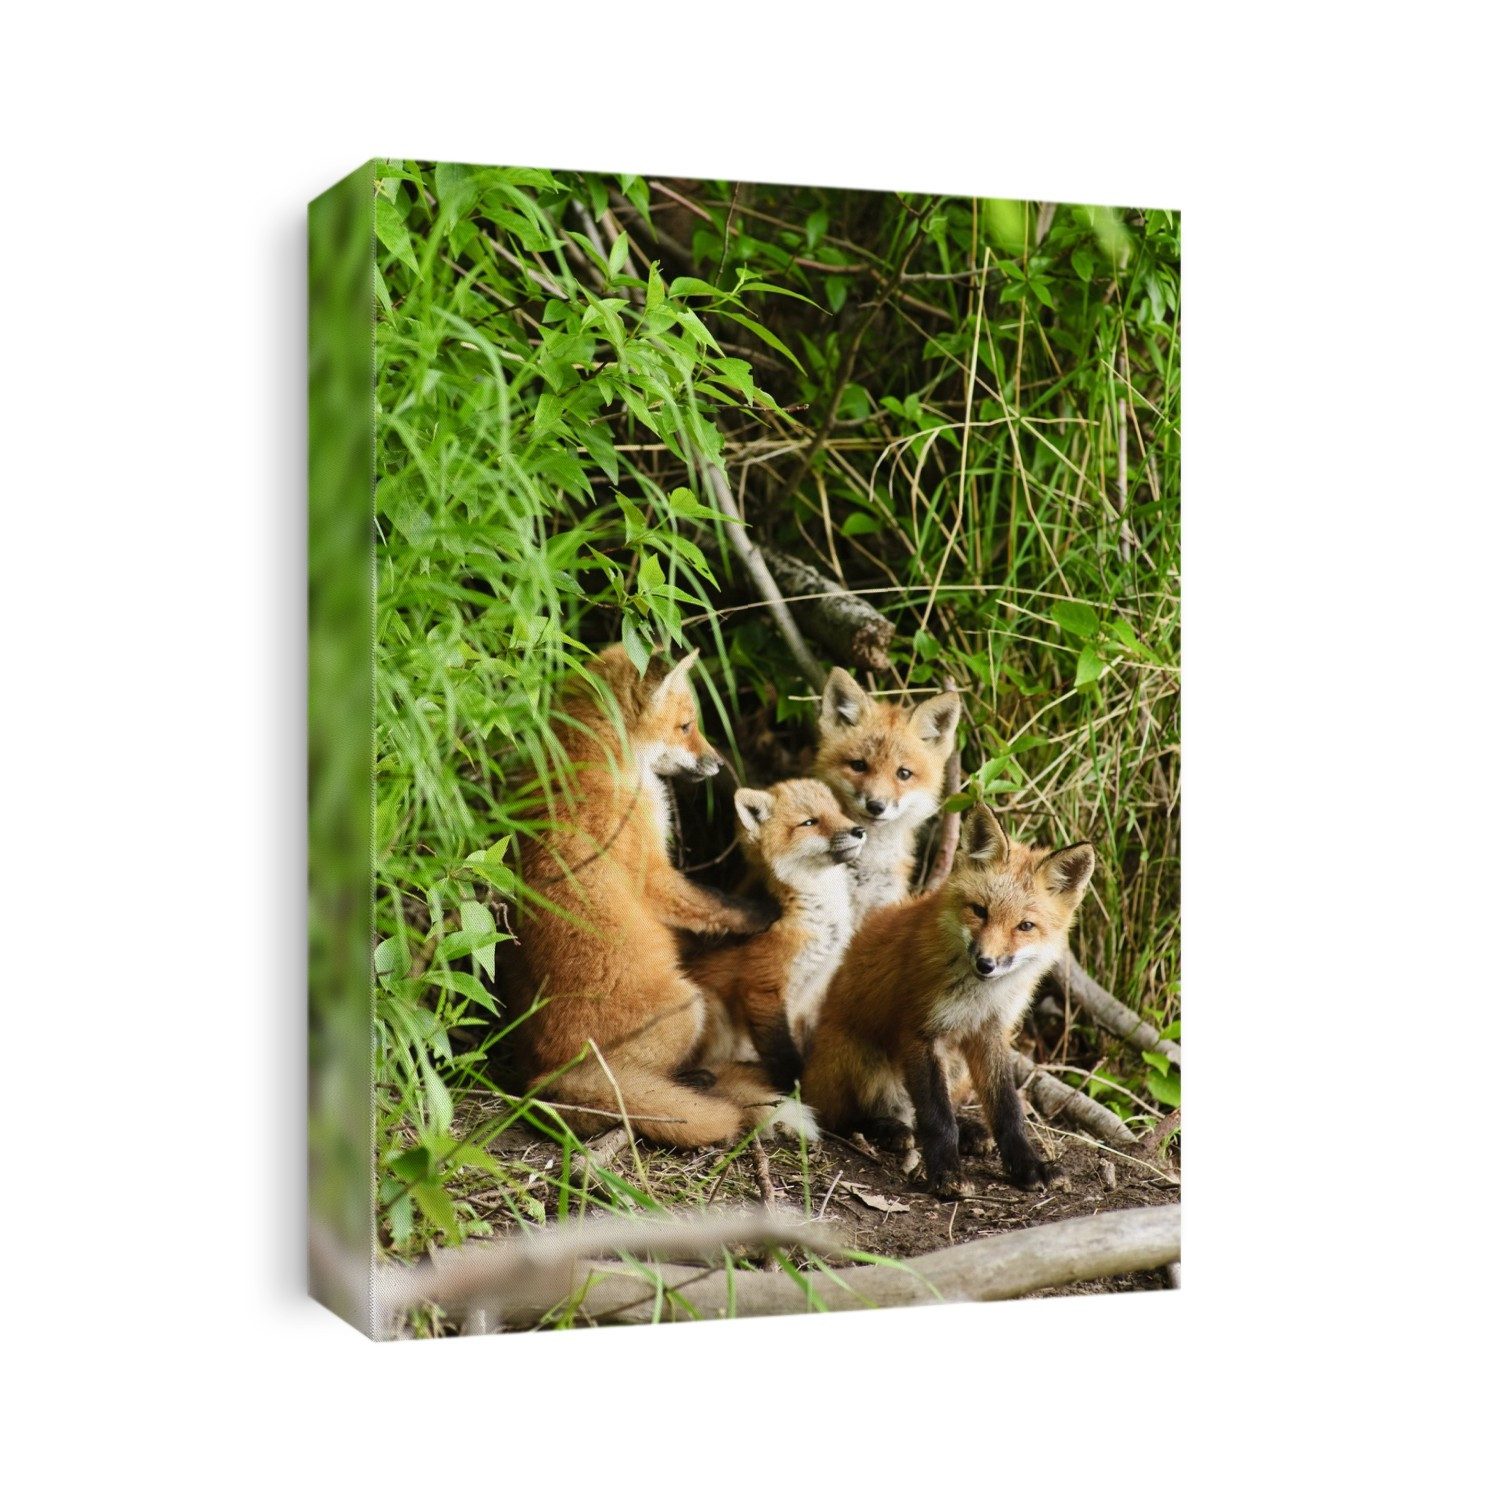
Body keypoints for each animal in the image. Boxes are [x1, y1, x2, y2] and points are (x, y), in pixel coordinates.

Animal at [505, 646, 816, 1149]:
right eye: (686, 726)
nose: (718, 764)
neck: (595, 760)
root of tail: (545, 1080)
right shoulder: (653, 872)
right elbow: (711, 902)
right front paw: (762, 914)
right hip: (689, 1005)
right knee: (650, 1079)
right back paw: (696, 1083)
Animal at [687, 779, 866, 1090]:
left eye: (838, 812)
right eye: (810, 822)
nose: (859, 830)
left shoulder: (815, 989)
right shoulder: (764, 987)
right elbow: (782, 1051)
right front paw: (795, 1086)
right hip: (711, 1009)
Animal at [801, 802, 1095, 1198]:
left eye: (1025, 926)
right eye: (980, 910)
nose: (985, 963)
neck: (979, 997)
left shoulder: (991, 1032)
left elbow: (1007, 1110)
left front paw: (1028, 1165)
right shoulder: (919, 1032)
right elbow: (937, 1118)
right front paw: (946, 1174)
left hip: (957, 1068)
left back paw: (967, 1131)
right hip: (858, 1055)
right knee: (840, 1117)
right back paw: (886, 1129)